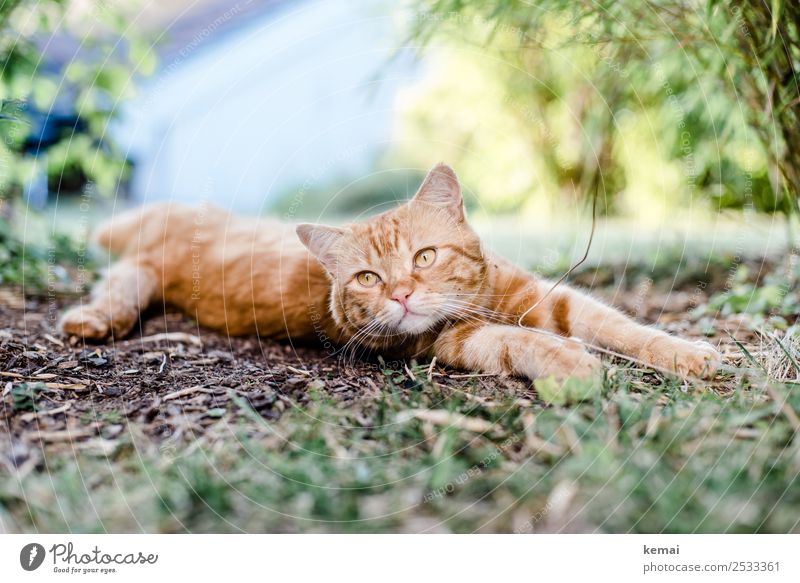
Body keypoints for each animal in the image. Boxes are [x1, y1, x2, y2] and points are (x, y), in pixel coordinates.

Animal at [59, 165, 720, 384]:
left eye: (424, 257)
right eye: (368, 279)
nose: (402, 295)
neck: (478, 296)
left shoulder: (548, 298)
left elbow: (623, 327)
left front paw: (691, 355)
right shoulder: (452, 342)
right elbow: (521, 340)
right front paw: (570, 361)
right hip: (139, 276)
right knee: (114, 289)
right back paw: (88, 321)